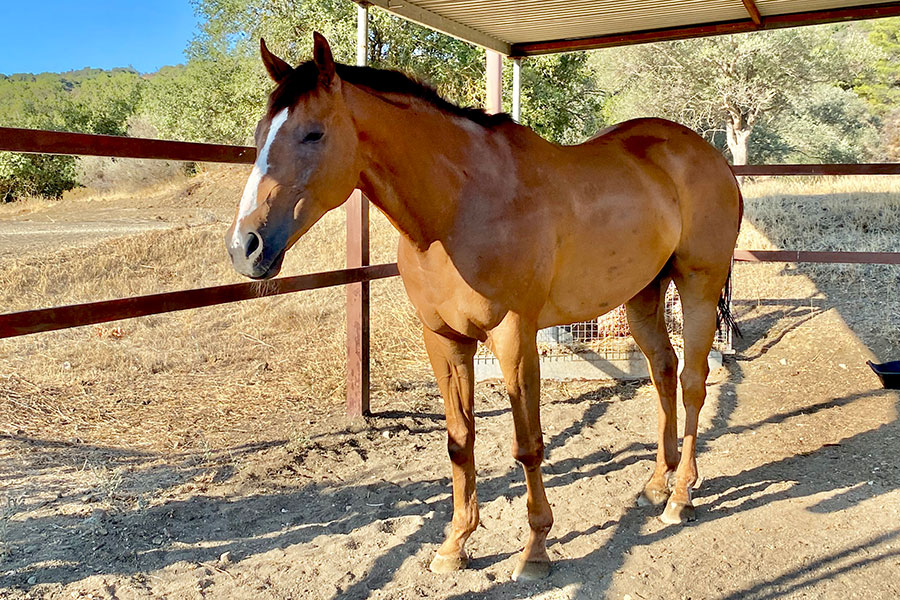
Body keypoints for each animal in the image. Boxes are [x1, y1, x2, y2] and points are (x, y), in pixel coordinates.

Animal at [226, 33, 742, 581]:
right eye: (261, 134)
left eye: (313, 133)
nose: (245, 247)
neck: (460, 205)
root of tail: (710, 156)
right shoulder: (444, 339)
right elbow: (459, 440)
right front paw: (455, 543)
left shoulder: (515, 335)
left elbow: (528, 444)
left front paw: (535, 549)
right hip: (644, 294)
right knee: (663, 372)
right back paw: (657, 484)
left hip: (698, 286)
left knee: (692, 383)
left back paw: (681, 496)